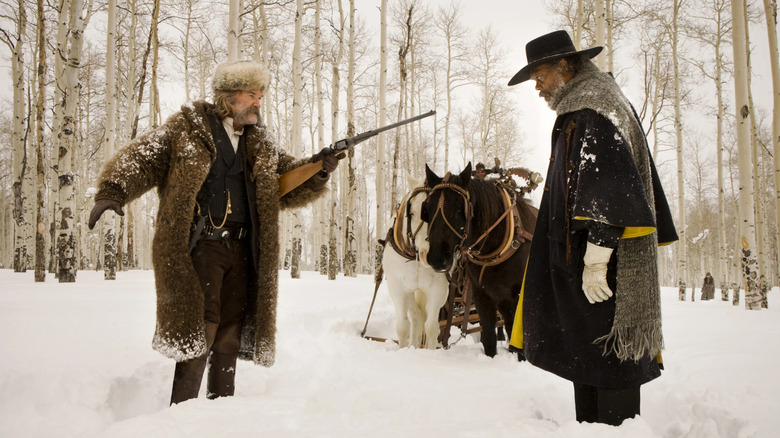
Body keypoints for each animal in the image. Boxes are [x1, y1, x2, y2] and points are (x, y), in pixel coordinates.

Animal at [420, 163, 536, 358]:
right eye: (427, 210)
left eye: (460, 210)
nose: (437, 258)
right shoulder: (482, 295)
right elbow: (488, 339)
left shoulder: (519, 299)